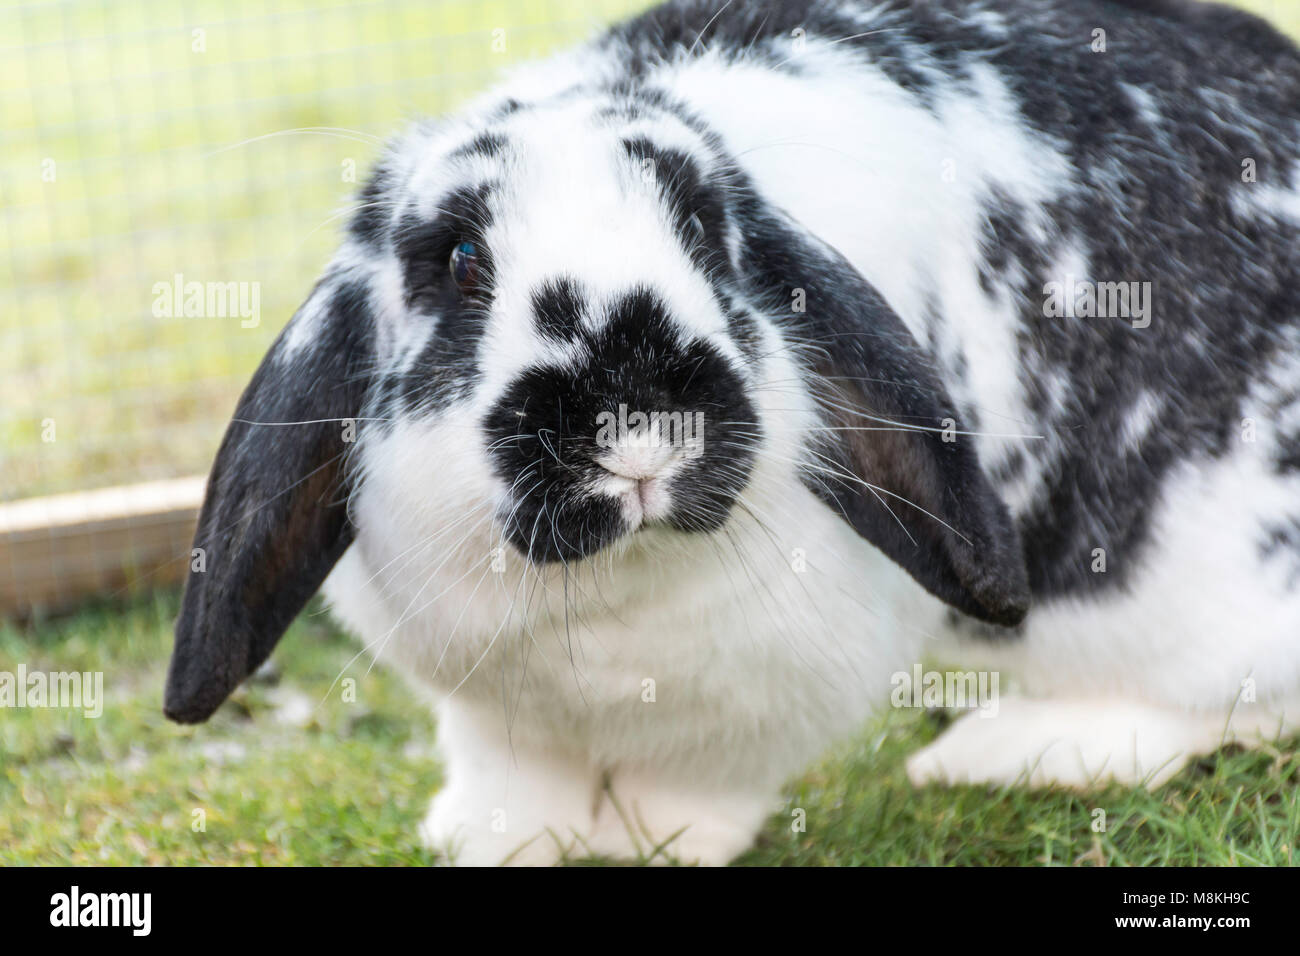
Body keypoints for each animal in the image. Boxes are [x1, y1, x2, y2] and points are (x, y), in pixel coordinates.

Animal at [163, 0, 1300, 865]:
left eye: (707, 231)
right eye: (459, 259)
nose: (636, 413)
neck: (607, 594)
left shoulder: (759, 702)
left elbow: (695, 783)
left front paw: (647, 844)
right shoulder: (490, 709)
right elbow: (509, 774)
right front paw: (491, 837)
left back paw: (1002, 749)